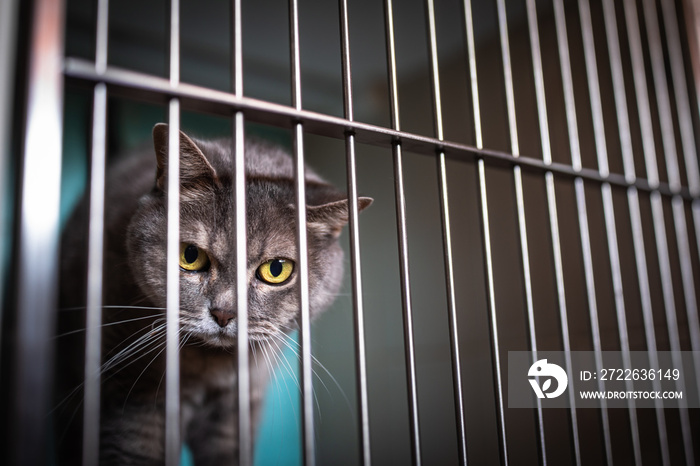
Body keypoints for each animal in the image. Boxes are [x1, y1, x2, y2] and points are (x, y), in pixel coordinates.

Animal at [56, 124, 372, 466]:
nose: (224, 312)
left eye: (276, 269)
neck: (211, 368)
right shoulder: (132, 396)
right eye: (190, 255)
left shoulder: (237, 408)